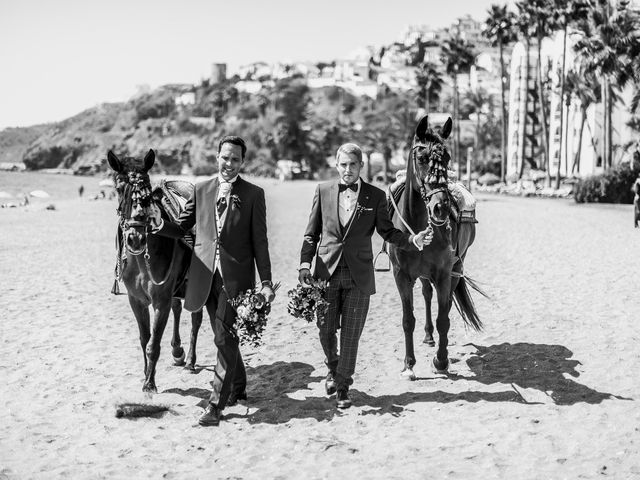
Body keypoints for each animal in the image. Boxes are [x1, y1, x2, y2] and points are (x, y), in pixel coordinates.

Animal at [106, 151, 204, 394]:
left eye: (147, 192)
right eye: (119, 188)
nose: (136, 237)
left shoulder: (160, 300)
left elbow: (154, 343)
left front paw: (149, 383)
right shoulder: (136, 300)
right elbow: (144, 338)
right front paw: (145, 373)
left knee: (196, 319)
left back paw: (190, 360)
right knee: (178, 308)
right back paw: (178, 351)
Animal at [388, 115, 482, 378]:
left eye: (448, 158)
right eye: (421, 158)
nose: (441, 207)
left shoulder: (443, 273)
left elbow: (444, 318)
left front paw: (441, 360)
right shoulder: (401, 275)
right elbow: (408, 319)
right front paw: (409, 364)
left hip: (457, 267)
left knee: (445, 304)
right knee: (427, 294)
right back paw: (429, 336)